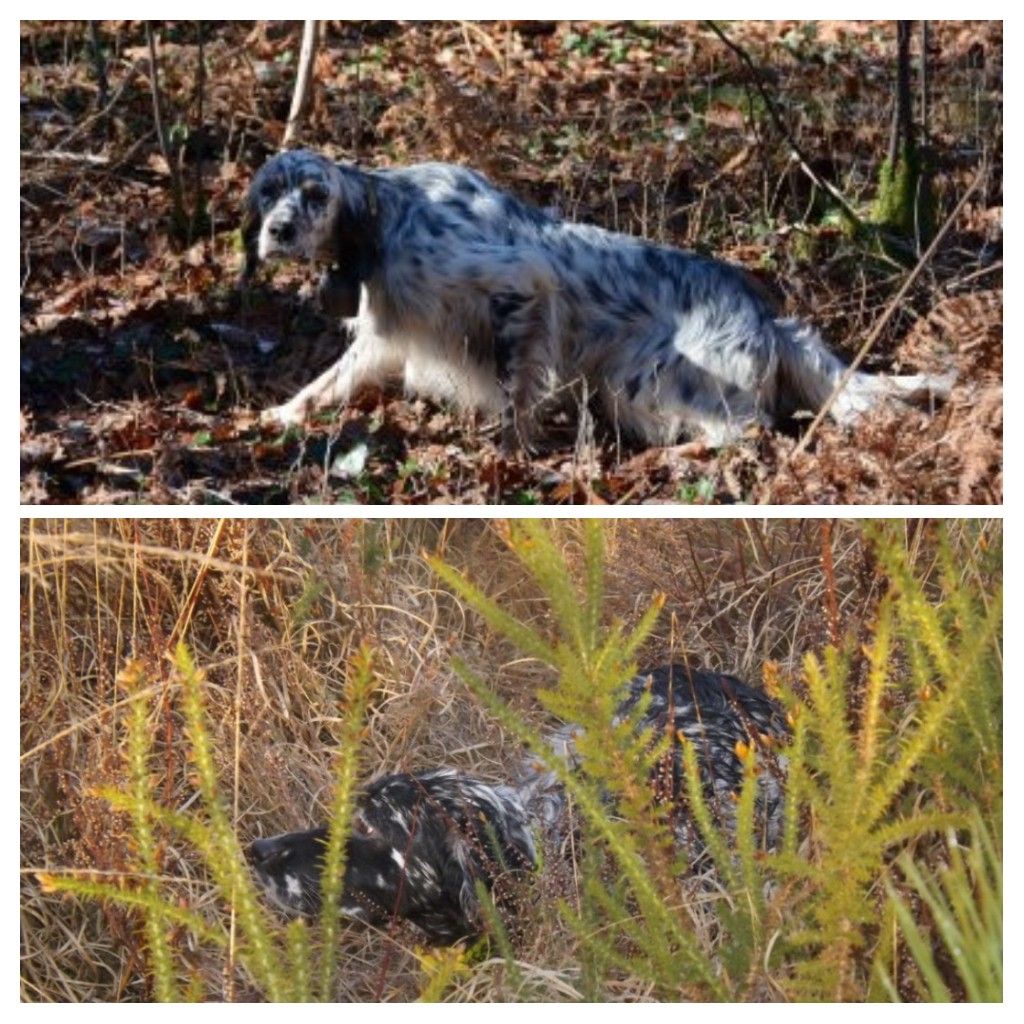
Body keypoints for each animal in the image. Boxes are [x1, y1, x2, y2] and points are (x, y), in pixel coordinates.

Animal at [243, 149, 946, 448]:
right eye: (266, 193)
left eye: (315, 193)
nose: (277, 231)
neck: (385, 216)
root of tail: (766, 316)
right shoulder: (388, 337)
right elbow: (325, 384)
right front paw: (279, 415)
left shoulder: (521, 284)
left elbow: (517, 395)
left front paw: (513, 455)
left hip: (649, 381)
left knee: (745, 432)